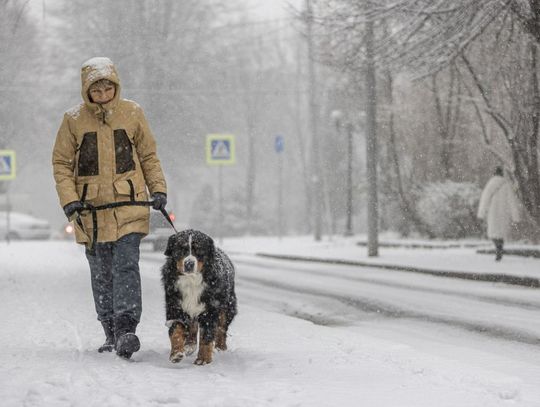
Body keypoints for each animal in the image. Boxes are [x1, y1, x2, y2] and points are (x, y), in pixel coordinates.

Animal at [160, 230, 236, 366]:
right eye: (181, 249)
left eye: (199, 250)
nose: (189, 263)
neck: (191, 281)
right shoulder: (175, 306)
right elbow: (176, 329)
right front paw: (176, 353)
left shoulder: (210, 309)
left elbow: (206, 335)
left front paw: (203, 359)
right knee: (193, 325)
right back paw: (190, 344)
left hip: (227, 306)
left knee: (222, 328)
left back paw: (221, 347)